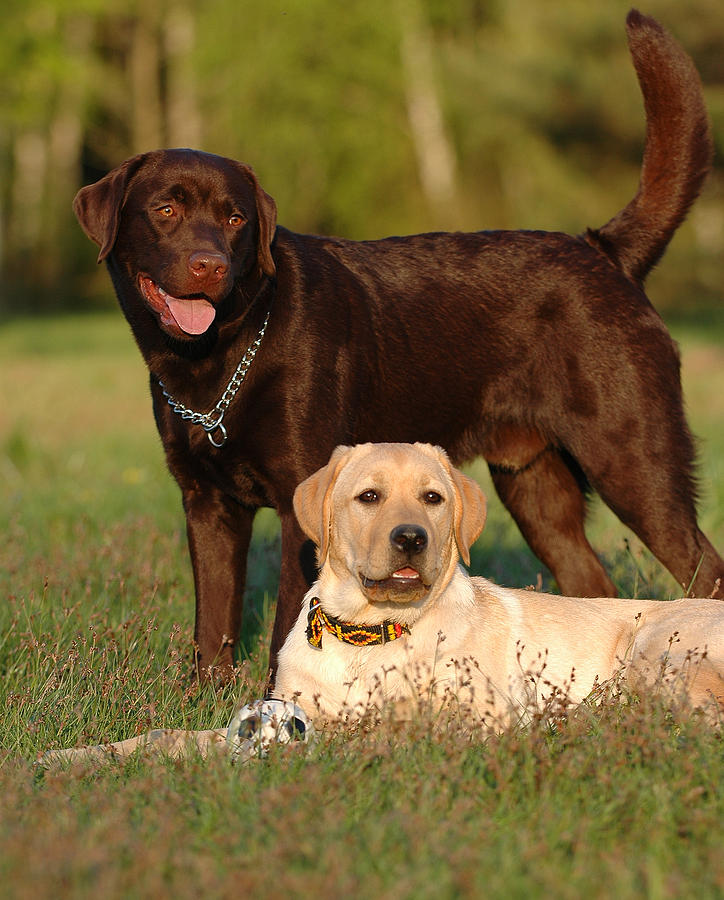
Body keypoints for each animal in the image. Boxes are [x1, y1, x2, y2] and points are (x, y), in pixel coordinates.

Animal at [75, 12, 724, 676]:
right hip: (535, 486)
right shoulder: (206, 505)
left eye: (236, 220)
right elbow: (213, 629)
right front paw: (207, 695)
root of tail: (602, 251)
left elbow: (286, 623)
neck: (224, 358)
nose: (208, 265)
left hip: (637, 464)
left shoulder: (301, 506)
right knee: (591, 583)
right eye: (165, 209)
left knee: (704, 571)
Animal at [274, 446, 720, 728]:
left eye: (432, 498)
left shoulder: (483, 712)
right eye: (369, 496)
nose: (412, 538)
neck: (371, 632)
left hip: (653, 652)